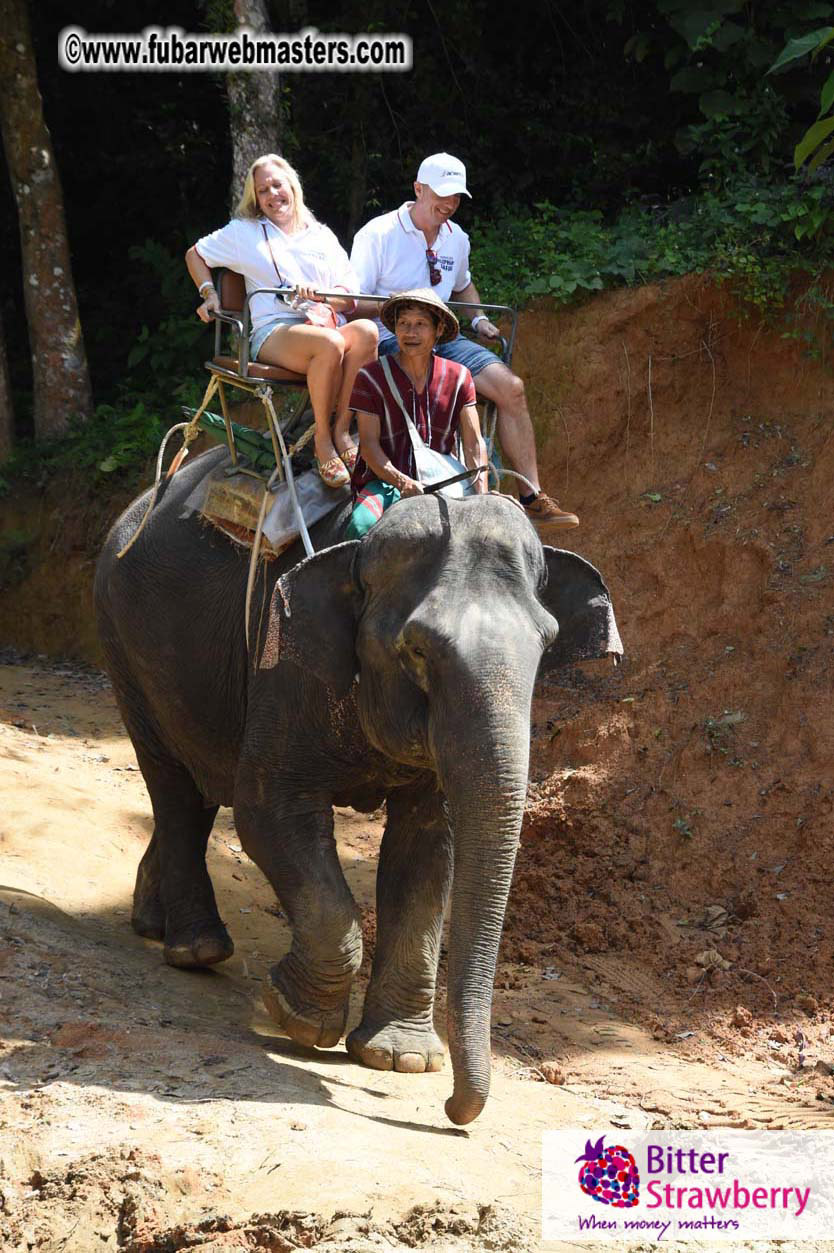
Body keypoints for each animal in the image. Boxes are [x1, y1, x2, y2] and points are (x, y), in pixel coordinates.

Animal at [94, 447, 622, 1125]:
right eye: (417, 650)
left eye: (547, 645)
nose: (455, 1112)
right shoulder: (285, 664)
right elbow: (268, 813)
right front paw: (299, 1020)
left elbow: (429, 850)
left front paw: (400, 1059)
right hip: (123, 643)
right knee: (176, 786)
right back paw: (196, 950)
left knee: (196, 789)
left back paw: (151, 921)